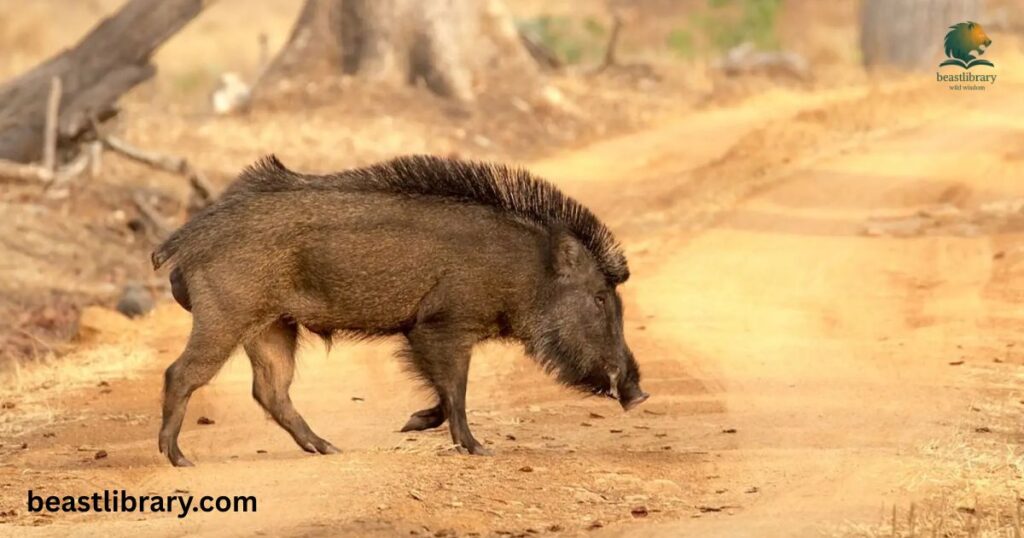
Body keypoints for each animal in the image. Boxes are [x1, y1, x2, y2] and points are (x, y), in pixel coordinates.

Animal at [152, 155, 648, 467]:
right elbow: (456, 392)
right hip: (227, 315)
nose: (639, 393)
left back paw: (328, 449)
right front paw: (477, 449)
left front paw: (412, 425)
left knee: (270, 390)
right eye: (600, 297)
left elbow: (446, 396)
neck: (526, 271)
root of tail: (184, 241)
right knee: (182, 373)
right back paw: (179, 459)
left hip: (273, 327)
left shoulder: (425, 331)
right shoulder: (441, 325)